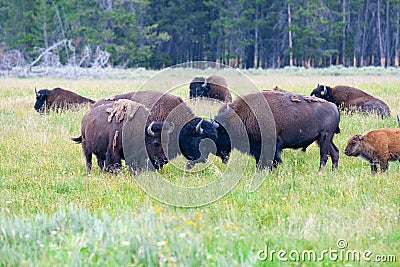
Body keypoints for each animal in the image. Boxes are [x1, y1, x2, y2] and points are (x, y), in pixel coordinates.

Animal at [212, 89, 340, 171]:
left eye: (220, 134)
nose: (219, 154)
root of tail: (334, 107)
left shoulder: (270, 145)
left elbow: (271, 160)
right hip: (324, 139)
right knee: (335, 152)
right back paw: (333, 171)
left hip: (324, 137)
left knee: (324, 156)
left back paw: (320, 172)